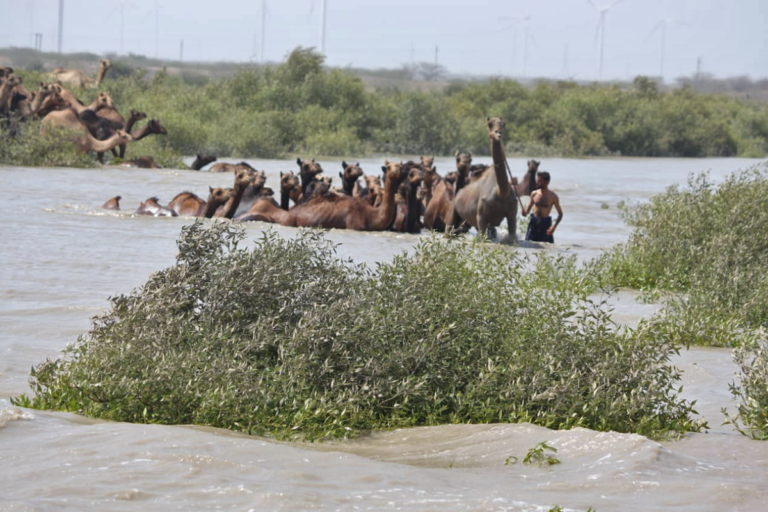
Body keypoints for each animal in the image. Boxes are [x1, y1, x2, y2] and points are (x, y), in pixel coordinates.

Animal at [448, 116, 520, 244]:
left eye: (503, 124)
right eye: (489, 124)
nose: (498, 133)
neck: (500, 192)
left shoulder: (512, 215)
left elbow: (511, 235)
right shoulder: (481, 216)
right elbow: (483, 238)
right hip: (455, 213)